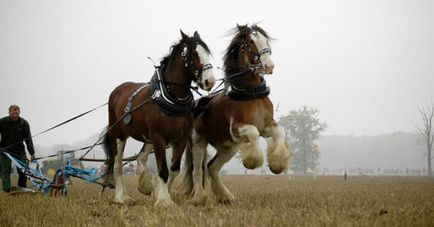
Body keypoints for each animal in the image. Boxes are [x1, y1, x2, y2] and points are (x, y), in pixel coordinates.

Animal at [102, 31, 217, 207]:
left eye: (207, 53)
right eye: (194, 53)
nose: (209, 81)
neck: (171, 97)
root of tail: (118, 90)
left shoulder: (181, 139)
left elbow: (174, 169)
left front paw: (161, 193)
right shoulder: (159, 137)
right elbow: (163, 170)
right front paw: (164, 200)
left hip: (147, 137)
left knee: (141, 157)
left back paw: (146, 184)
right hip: (119, 134)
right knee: (117, 165)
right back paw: (121, 197)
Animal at [176, 24, 292, 204]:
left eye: (265, 40)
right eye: (251, 42)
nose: (269, 65)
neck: (251, 92)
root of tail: (194, 106)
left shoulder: (266, 125)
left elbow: (280, 131)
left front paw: (277, 163)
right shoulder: (237, 127)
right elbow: (253, 133)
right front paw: (252, 161)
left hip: (228, 147)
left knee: (212, 167)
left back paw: (225, 196)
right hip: (198, 142)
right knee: (198, 170)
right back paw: (199, 198)